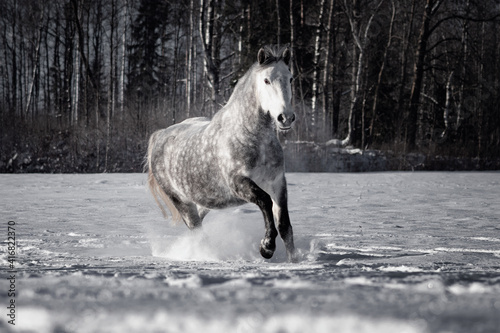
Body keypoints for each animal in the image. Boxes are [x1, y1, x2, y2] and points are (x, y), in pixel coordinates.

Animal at [147, 44, 296, 262]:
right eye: (266, 80)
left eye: (290, 78)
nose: (285, 118)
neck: (250, 137)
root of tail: (160, 135)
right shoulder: (238, 183)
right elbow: (265, 202)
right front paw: (266, 247)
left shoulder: (278, 182)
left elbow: (284, 225)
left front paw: (295, 261)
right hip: (182, 202)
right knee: (197, 230)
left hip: (205, 201)